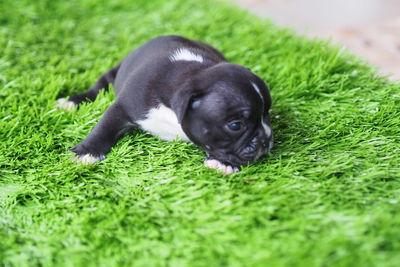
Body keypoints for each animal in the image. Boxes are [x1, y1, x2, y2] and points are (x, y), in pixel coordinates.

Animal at [56, 35, 274, 175]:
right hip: (113, 74)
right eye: (236, 125)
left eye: (267, 115)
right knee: (99, 86)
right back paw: (72, 102)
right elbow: (104, 128)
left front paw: (224, 163)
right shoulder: (123, 107)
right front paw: (86, 152)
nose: (266, 139)